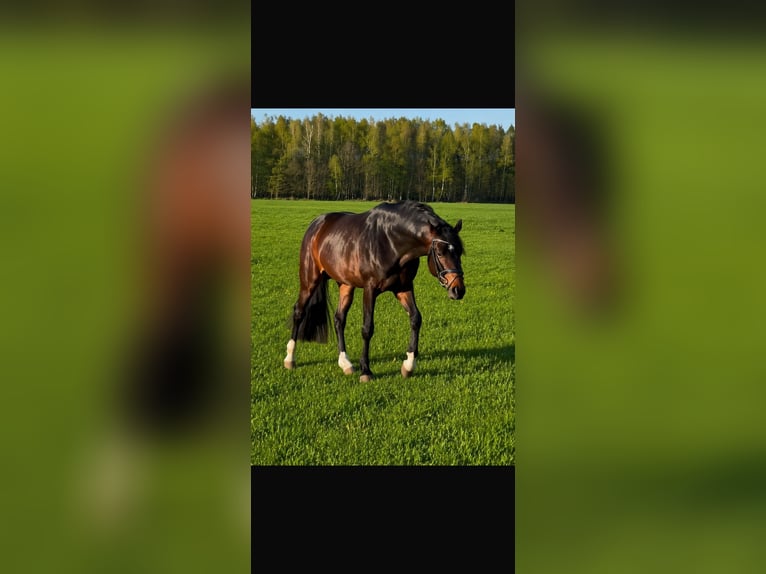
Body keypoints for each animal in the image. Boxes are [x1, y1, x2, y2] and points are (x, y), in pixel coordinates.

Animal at [283, 200, 465, 382]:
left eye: (460, 251)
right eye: (440, 253)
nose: (458, 290)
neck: (390, 242)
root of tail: (317, 224)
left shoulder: (403, 287)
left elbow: (415, 319)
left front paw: (408, 365)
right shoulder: (370, 290)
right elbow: (367, 328)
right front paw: (366, 370)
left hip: (346, 285)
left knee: (339, 319)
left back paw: (345, 363)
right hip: (309, 280)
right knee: (299, 312)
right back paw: (290, 359)